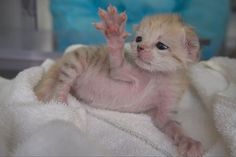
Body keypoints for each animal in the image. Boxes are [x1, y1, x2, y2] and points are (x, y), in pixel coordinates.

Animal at [34, 4, 203, 157]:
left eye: (161, 45)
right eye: (139, 39)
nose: (140, 47)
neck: (157, 75)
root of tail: (61, 59)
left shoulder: (167, 104)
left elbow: (169, 123)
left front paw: (188, 141)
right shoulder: (121, 70)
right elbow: (117, 64)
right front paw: (114, 33)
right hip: (76, 60)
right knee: (62, 83)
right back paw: (61, 102)